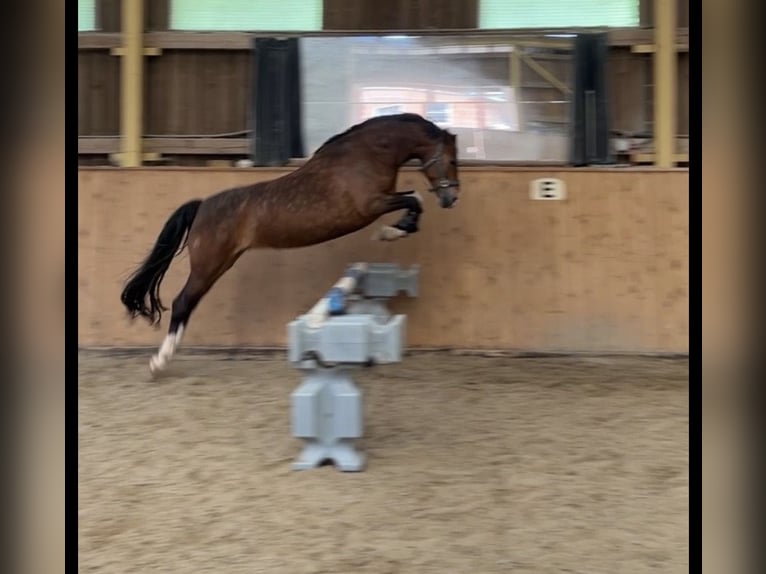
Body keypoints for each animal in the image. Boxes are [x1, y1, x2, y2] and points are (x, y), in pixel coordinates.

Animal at [120, 113, 461, 375]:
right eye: (451, 159)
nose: (451, 198)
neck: (368, 154)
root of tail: (202, 206)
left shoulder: (380, 201)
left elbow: (413, 200)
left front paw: (397, 229)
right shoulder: (372, 205)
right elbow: (414, 199)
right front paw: (393, 231)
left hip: (222, 263)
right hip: (208, 265)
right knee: (182, 302)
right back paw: (159, 362)